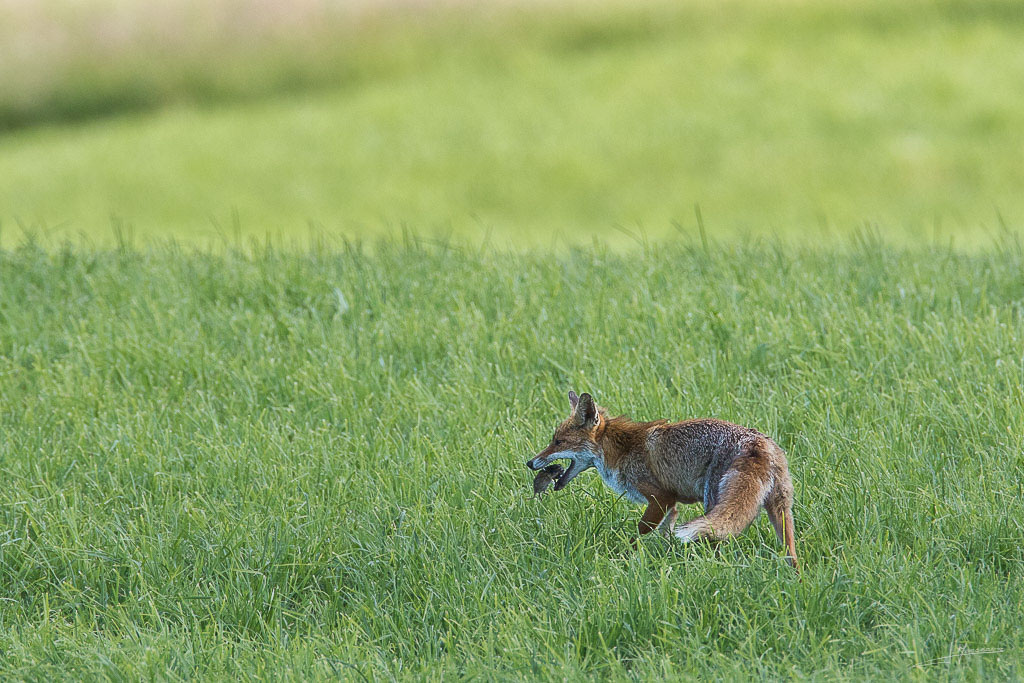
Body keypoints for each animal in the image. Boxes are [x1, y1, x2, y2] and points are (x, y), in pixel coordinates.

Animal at [526, 391, 798, 570]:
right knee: (791, 552)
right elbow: (666, 533)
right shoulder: (672, 505)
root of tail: (757, 442)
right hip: (780, 512)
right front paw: (666, 557)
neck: (621, 450)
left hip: (713, 503)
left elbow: (639, 533)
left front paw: (622, 557)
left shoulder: (660, 498)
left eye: (558, 442)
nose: (530, 462)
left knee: (715, 542)